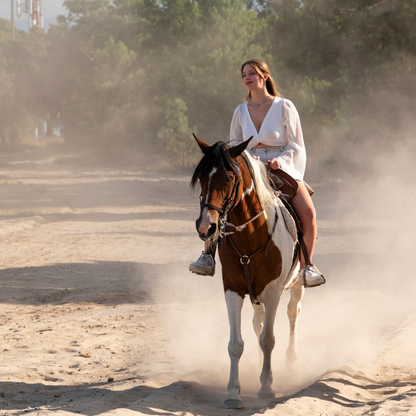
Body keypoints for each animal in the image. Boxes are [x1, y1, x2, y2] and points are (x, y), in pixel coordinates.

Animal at [192, 136, 306, 410]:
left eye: (229, 178)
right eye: (201, 177)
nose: (206, 226)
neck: (251, 237)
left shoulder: (274, 292)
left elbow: (268, 340)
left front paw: (266, 388)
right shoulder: (232, 289)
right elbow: (236, 344)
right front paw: (233, 393)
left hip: (296, 285)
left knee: (292, 314)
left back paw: (291, 361)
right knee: (258, 323)